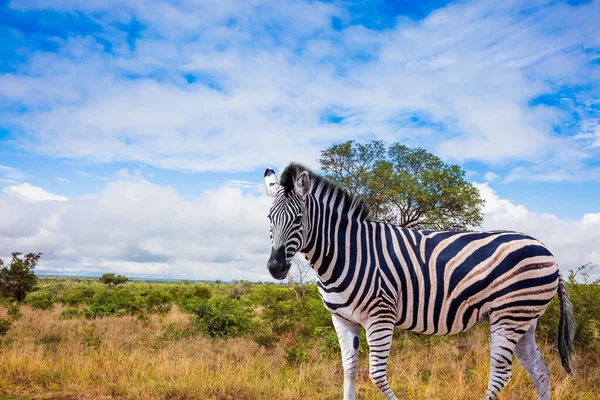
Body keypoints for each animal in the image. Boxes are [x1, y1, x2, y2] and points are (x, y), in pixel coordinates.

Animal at [262, 162, 576, 400]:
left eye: (298, 218)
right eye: (268, 218)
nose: (275, 267)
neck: (347, 252)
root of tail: (547, 251)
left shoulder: (380, 316)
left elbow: (376, 375)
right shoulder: (342, 319)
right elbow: (349, 369)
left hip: (509, 315)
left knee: (501, 373)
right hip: (525, 318)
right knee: (540, 370)